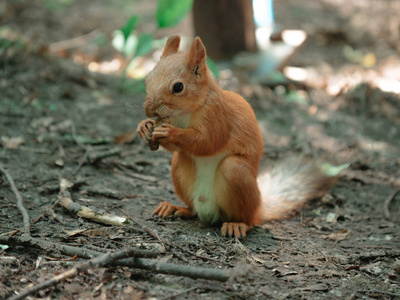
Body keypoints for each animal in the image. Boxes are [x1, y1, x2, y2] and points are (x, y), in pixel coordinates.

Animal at [136, 35, 336, 238]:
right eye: (147, 79)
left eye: (178, 87)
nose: (149, 110)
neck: (186, 111)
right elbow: (177, 147)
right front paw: (144, 127)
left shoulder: (217, 114)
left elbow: (207, 142)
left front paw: (169, 132)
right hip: (180, 166)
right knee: (191, 203)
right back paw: (175, 208)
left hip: (236, 173)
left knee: (247, 218)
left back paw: (237, 224)